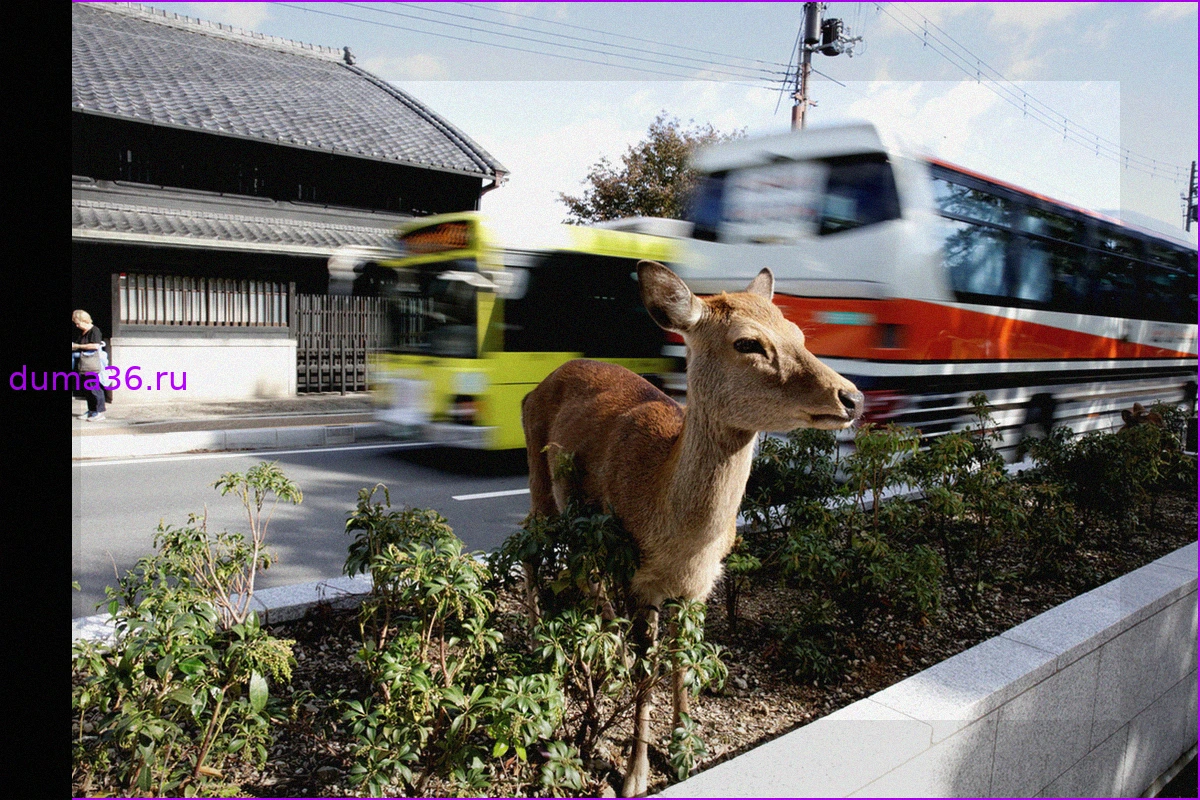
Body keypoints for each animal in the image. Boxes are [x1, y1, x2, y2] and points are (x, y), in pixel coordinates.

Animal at [520, 260, 863, 796]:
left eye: (799, 333)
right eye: (748, 342)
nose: (852, 396)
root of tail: (535, 387)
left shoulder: (699, 586)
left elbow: (684, 663)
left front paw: (685, 750)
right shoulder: (642, 580)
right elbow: (649, 674)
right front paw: (635, 774)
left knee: (583, 570)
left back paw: (610, 652)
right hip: (539, 479)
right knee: (529, 547)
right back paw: (542, 640)